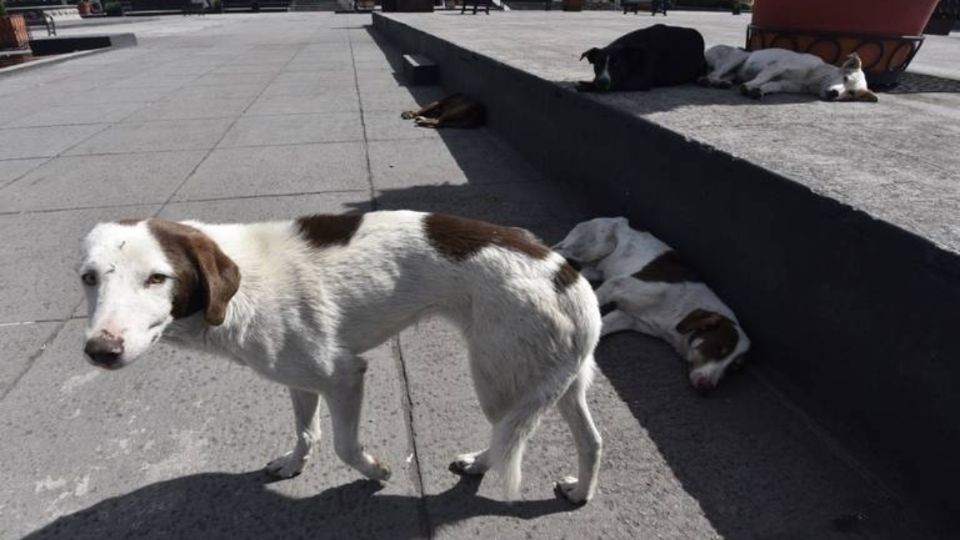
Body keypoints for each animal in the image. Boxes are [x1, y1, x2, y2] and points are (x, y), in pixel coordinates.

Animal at [80, 212, 600, 506]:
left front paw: (377, 472)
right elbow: (306, 432)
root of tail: (568, 276)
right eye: (89, 277)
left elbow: (344, 447)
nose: (99, 351)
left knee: (504, 435)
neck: (239, 293)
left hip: (496, 378)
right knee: (592, 442)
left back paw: (479, 465)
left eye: (157, 278)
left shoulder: (344, 376)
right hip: (560, 380)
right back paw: (579, 493)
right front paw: (293, 463)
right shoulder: (299, 380)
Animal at [556, 216, 752, 392]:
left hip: (595, 269)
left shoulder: (628, 317)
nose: (707, 388)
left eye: (733, 368)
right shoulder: (616, 285)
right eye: (718, 349)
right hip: (597, 246)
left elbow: (601, 327)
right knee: (561, 253)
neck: (681, 310)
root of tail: (610, 217)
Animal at [576, 23, 704, 92]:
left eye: (617, 65)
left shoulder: (641, 80)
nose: (602, 81)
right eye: (598, 64)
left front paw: (588, 86)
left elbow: (618, 83)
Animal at [696, 44, 876, 102]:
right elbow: (763, 77)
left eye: (851, 93)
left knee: (720, 75)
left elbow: (771, 85)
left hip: (734, 72)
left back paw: (721, 83)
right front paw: (750, 85)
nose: (834, 94)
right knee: (713, 74)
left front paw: (759, 91)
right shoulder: (776, 67)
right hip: (737, 57)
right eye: (845, 77)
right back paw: (711, 81)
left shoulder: (785, 84)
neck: (813, 79)